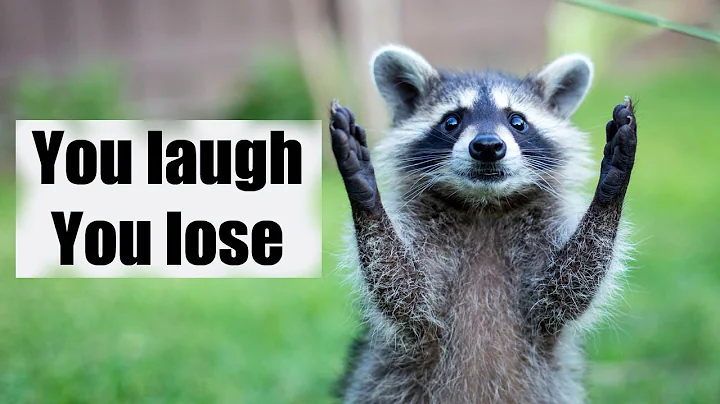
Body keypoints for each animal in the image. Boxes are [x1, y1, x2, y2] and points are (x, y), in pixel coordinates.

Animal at [329, 44, 637, 404]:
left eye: (518, 121)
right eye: (451, 121)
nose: (488, 146)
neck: (484, 207)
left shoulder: (543, 242)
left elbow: (569, 286)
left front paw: (610, 188)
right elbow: (402, 289)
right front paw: (365, 194)